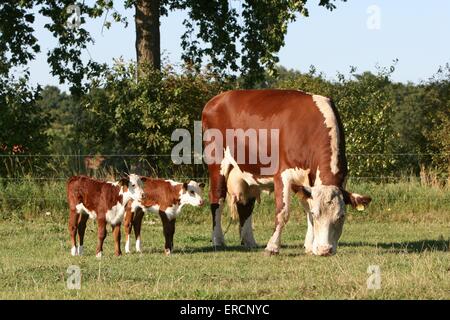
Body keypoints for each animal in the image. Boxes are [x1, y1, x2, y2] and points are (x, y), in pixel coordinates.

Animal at [202, 89, 370, 256]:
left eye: (341, 216)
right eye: (317, 214)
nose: (325, 250)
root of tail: (217, 98)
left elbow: (307, 208)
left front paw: (310, 246)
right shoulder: (283, 175)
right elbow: (283, 213)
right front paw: (272, 246)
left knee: (246, 204)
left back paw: (249, 241)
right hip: (217, 163)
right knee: (217, 198)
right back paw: (218, 240)